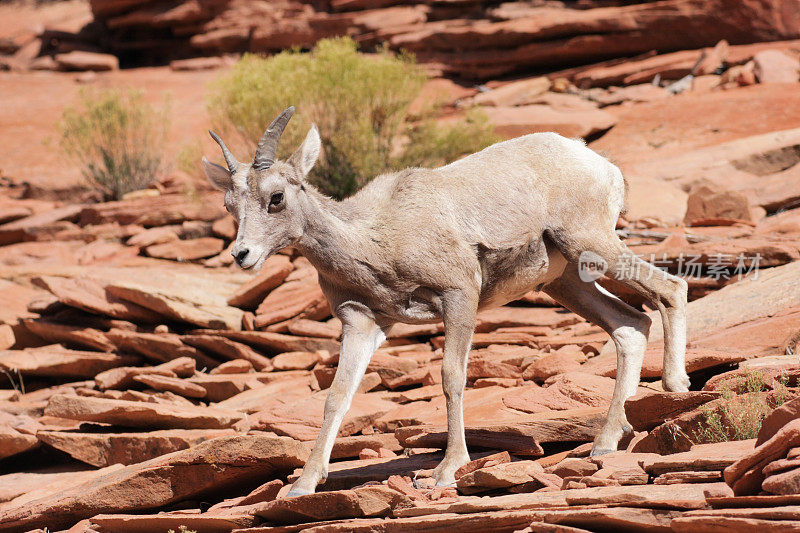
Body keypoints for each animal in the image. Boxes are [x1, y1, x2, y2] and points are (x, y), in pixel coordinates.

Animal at [205, 106, 688, 496]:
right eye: (230, 205)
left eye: (276, 198)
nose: (242, 255)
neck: (376, 236)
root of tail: (598, 162)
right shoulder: (362, 322)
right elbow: (337, 396)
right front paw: (303, 485)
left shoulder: (458, 297)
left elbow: (451, 378)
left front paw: (446, 470)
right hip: (566, 281)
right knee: (631, 326)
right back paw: (605, 442)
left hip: (591, 246)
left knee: (671, 289)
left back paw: (675, 386)